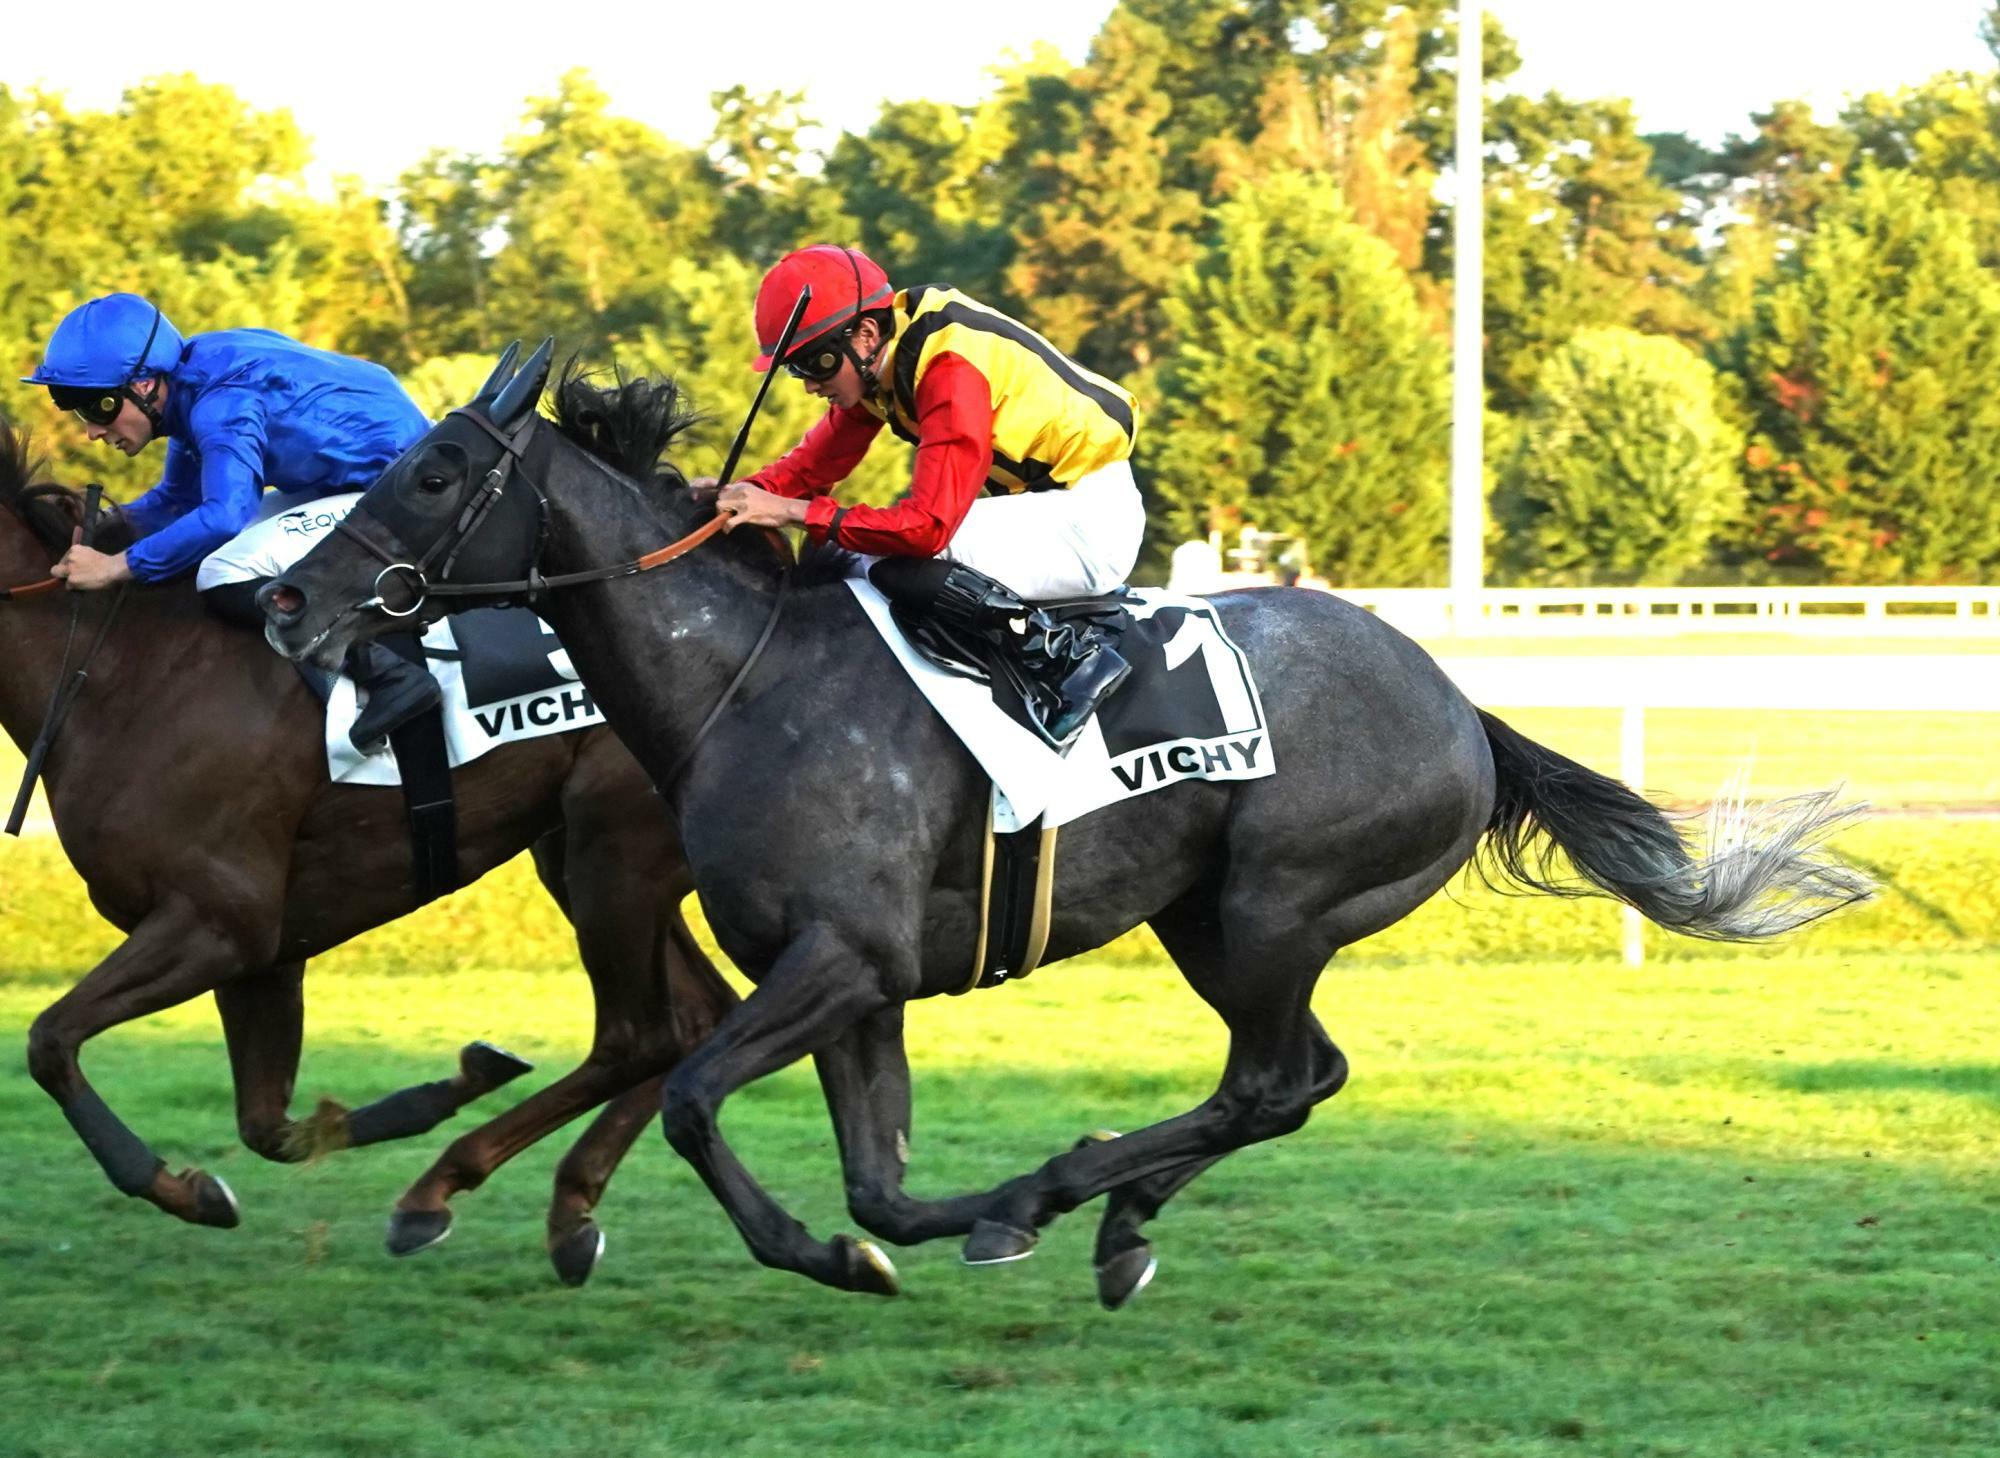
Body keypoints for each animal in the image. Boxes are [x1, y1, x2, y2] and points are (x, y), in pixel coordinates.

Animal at [0, 396, 736, 1272]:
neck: (118, 669)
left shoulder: (220, 921)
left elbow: (50, 1040)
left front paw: (175, 1186)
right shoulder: (264, 951)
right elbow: (270, 1127)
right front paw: (453, 1083)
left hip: (614, 852)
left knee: (643, 1034)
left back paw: (447, 1194)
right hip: (587, 857)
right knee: (696, 1019)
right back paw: (568, 1211)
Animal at [258, 344, 1864, 1312]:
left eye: (433, 472)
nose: (286, 603)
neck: (743, 680)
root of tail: (1460, 703)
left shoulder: (837, 959)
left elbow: (705, 1102)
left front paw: (840, 1251)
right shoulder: (855, 981)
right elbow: (876, 1172)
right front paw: (904, 1228)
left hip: (1276, 906)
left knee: (1270, 1079)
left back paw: (1067, 1194)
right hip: (1213, 919)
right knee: (1300, 1077)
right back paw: (1104, 1214)